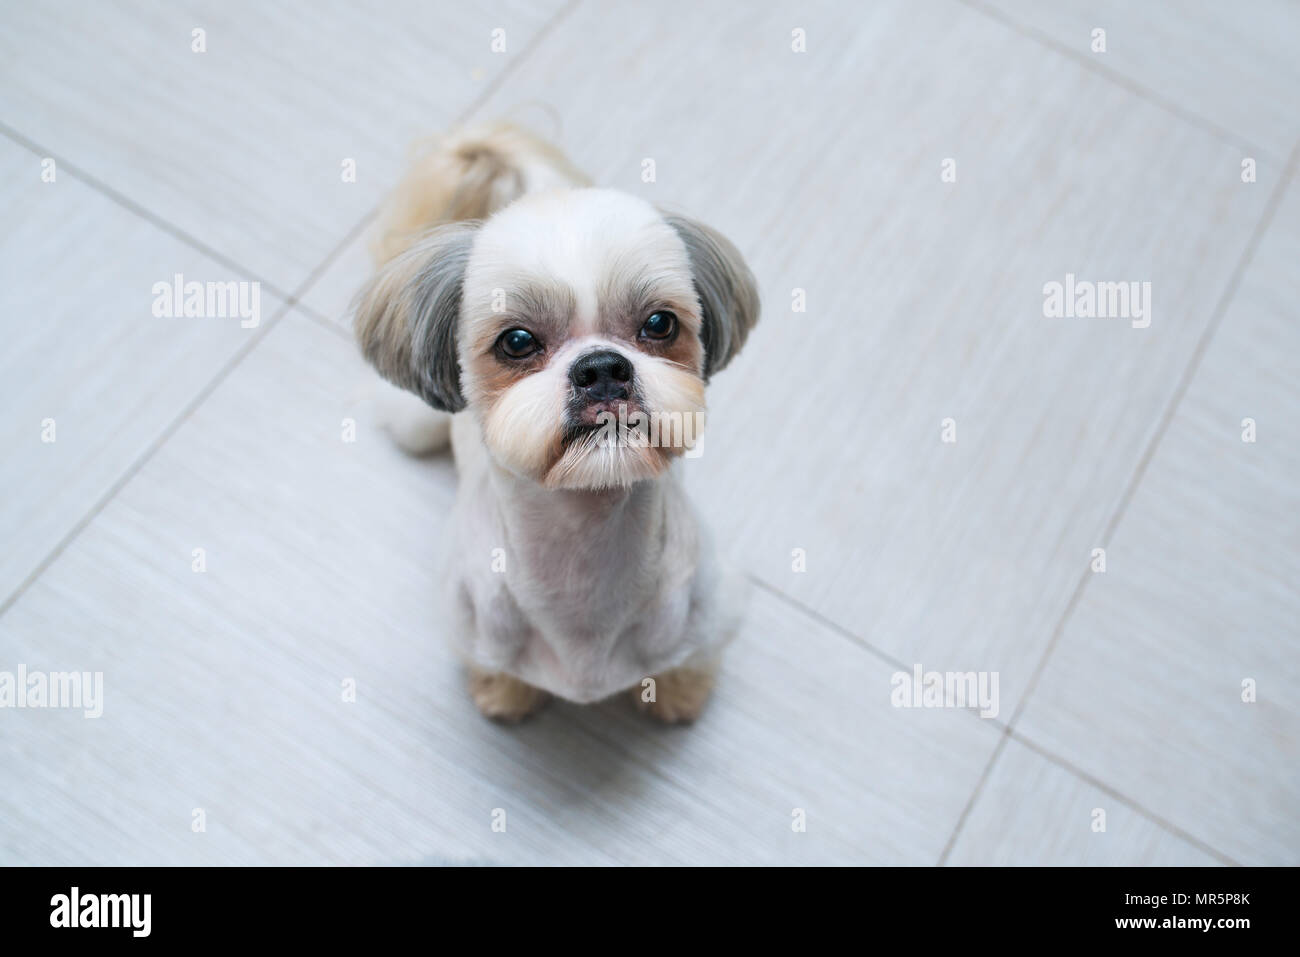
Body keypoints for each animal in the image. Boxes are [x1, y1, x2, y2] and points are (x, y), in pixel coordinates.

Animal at [356, 125, 759, 722]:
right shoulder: (469, 628)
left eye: (660, 323)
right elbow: (494, 670)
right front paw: (504, 695)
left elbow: (689, 661)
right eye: (517, 341)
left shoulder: (714, 611)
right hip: (415, 425)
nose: (602, 368)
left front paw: (677, 694)